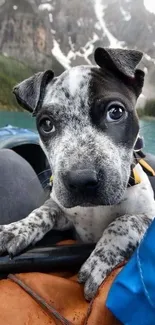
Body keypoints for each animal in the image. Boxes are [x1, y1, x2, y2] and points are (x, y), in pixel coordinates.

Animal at [0, 47, 154, 298]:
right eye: (46, 124)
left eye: (116, 112)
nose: (81, 181)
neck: (95, 210)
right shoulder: (65, 215)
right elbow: (43, 211)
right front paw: (17, 229)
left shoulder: (148, 217)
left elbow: (124, 221)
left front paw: (99, 259)